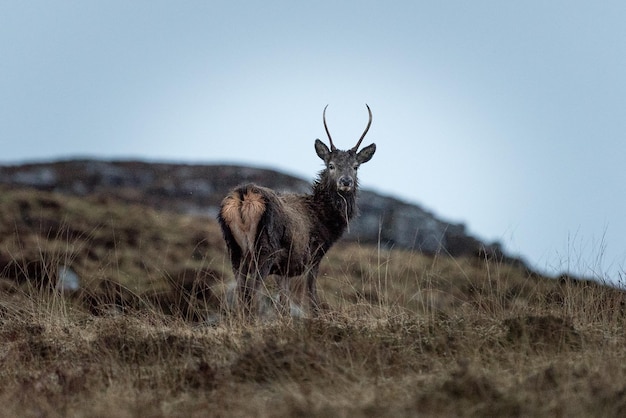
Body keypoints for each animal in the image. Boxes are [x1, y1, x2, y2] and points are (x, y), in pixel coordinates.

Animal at [218, 105, 376, 316]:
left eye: (355, 166)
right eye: (331, 165)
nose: (346, 181)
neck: (323, 219)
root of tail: (243, 196)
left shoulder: (284, 267)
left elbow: (283, 302)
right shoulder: (313, 255)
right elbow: (311, 296)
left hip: (234, 249)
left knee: (241, 292)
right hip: (264, 249)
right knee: (252, 292)